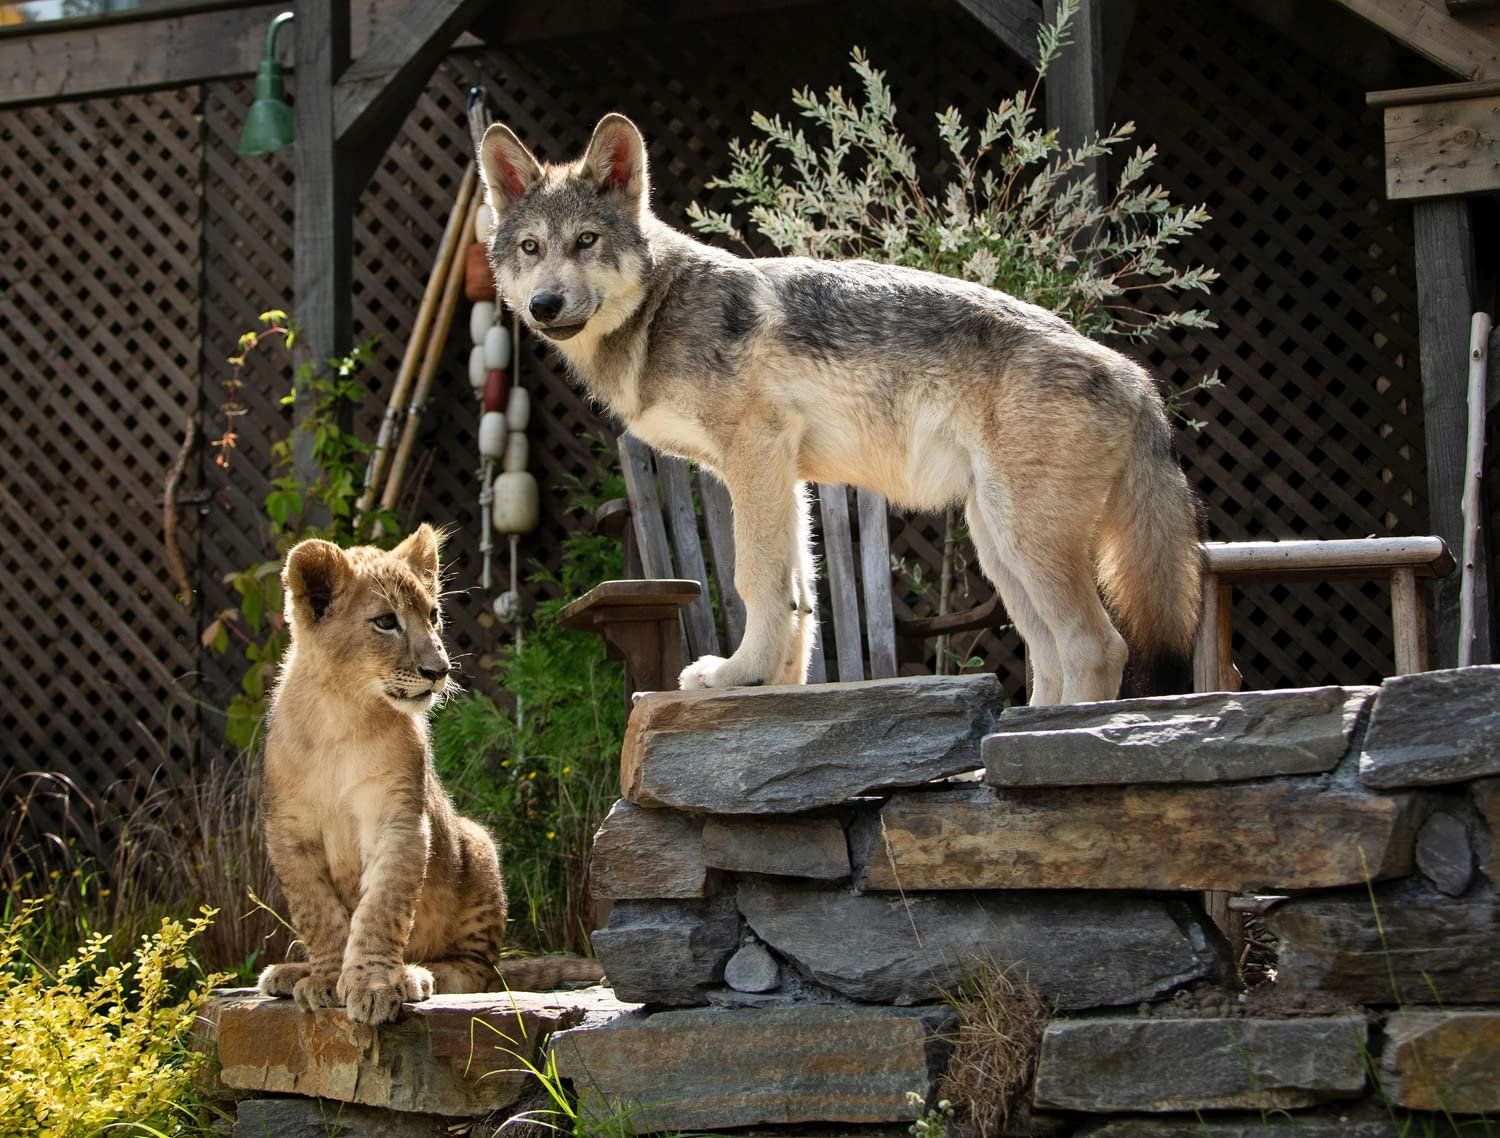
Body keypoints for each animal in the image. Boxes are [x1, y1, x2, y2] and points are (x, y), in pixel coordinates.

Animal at [474, 113, 1202, 704]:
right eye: (532, 247)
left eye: (586, 241)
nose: (543, 305)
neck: (658, 312)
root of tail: (1136, 378)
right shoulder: (783, 474)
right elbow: (799, 596)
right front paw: (777, 687)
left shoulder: (755, 455)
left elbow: (755, 580)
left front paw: (736, 676)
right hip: (1000, 545)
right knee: (1048, 653)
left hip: (1024, 540)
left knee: (1097, 646)